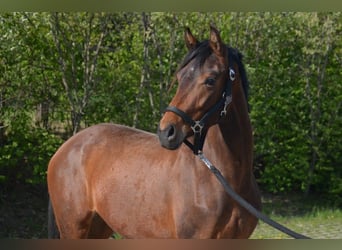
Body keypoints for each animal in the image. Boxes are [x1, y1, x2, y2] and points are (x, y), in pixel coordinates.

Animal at [47, 25, 262, 238]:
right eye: (180, 77)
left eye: (210, 80)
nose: (167, 131)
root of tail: (65, 148)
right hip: (73, 229)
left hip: (99, 227)